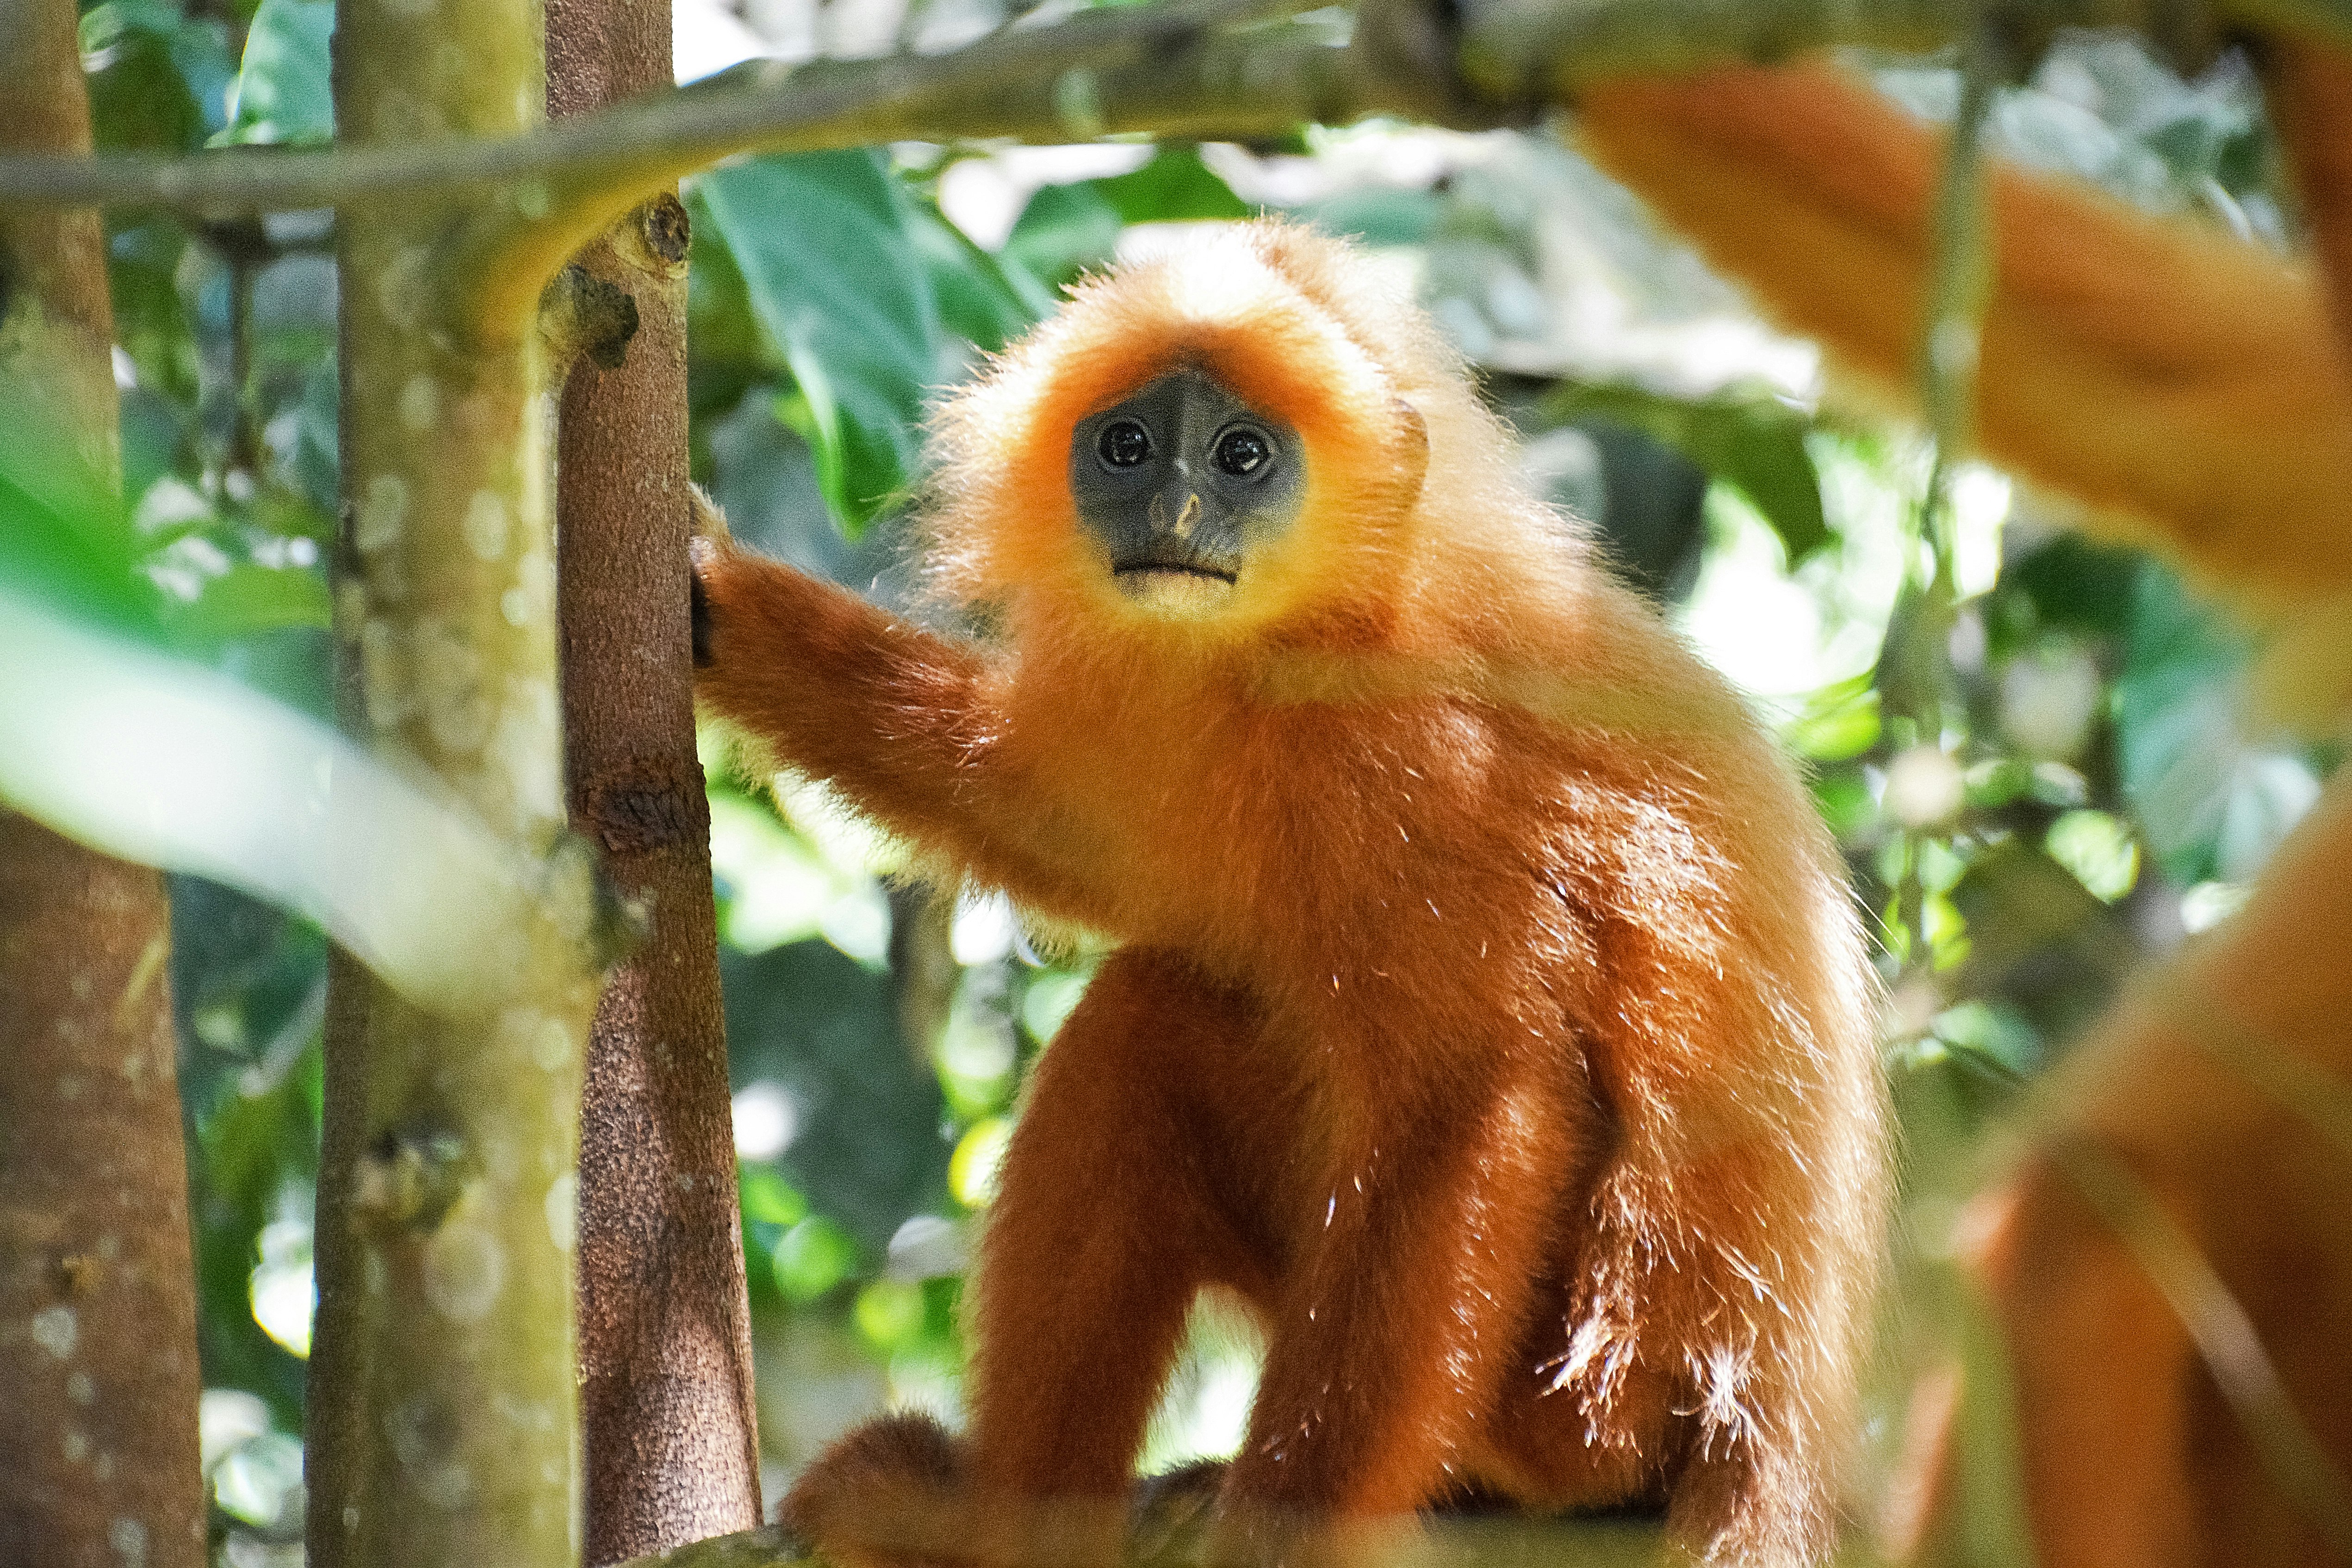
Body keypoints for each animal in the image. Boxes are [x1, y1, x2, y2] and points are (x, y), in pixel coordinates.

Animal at [687, 223, 1891, 1568]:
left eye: (1242, 457)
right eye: (1126, 448)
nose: (1173, 511)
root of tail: (1765, 1426)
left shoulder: (1407, 756)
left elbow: (1476, 1096)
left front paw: (1273, 1534)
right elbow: (1088, 831)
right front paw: (716, 606)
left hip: (1576, 1411)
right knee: (1147, 1031)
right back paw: (1000, 1530)